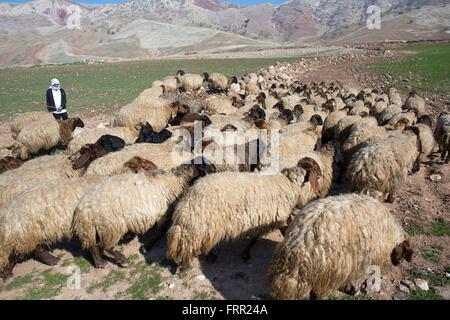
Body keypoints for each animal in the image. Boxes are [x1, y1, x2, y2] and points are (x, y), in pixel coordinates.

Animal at [72, 161, 216, 268]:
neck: (177, 179)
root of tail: (83, 208)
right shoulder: (163, 212)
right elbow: (162, 231)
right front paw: (147, 246)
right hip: (111, 225)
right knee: (107, 246)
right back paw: (122, 260)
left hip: (96, 227)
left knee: (93, 245)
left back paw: (99, 262)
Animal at [165, 159, 324, 268]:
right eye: (314, 173)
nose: (321, 178)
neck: (288, 183)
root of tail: (189, 195)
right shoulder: (271, 217)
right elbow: (261, 237)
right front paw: (246, 254)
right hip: (202, 222)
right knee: (192, 242)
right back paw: (193, 262)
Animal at [268, 192, 414, 300]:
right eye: (404, 253)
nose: (397, 264)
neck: (392, 234)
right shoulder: (356, 261)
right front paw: (349, 288)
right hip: (329, 272)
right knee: (318, 294)